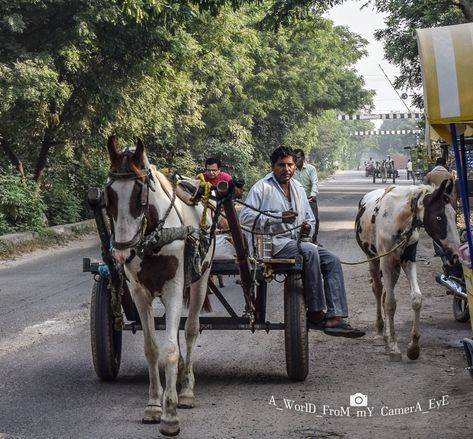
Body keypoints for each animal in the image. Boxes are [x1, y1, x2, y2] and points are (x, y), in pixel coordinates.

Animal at [106, 137, 213, 436]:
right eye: (109, 195)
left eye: (139, 193)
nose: (121, 252)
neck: (153, 237)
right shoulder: (138, 292)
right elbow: (152, 348)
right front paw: (154, 405)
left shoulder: (174, 288)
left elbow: (171, 349)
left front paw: (170, 414)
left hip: (200, 279)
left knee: (190, 330)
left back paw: (186, 389)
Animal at [356, 180, 460, 362]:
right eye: (439, 217)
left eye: (455, 216)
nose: (455, 255)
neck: (398, 218)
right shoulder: (386, 260)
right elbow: (390, 303)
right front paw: (394, 348)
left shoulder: (408, 259)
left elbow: (416, 299)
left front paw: (413, 347)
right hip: (373, 259)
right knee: (378, 290)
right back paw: (380, 333)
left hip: (395, 266)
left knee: (385, 293)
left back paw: (386, 337)